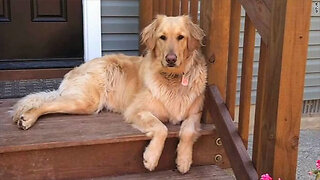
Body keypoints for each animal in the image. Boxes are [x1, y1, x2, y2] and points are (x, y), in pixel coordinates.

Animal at [11, 15, 206, 173]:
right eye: (162, 37)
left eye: (181, 37)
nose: (171, 59)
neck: (173, 78)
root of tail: (80, 66)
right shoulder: (136, 110)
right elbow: (161, 128)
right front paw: (151, 157)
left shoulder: (196, 113)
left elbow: (188, 131)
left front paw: (184, 160)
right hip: (86, 101)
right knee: (46, 104)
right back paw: (27, 118)